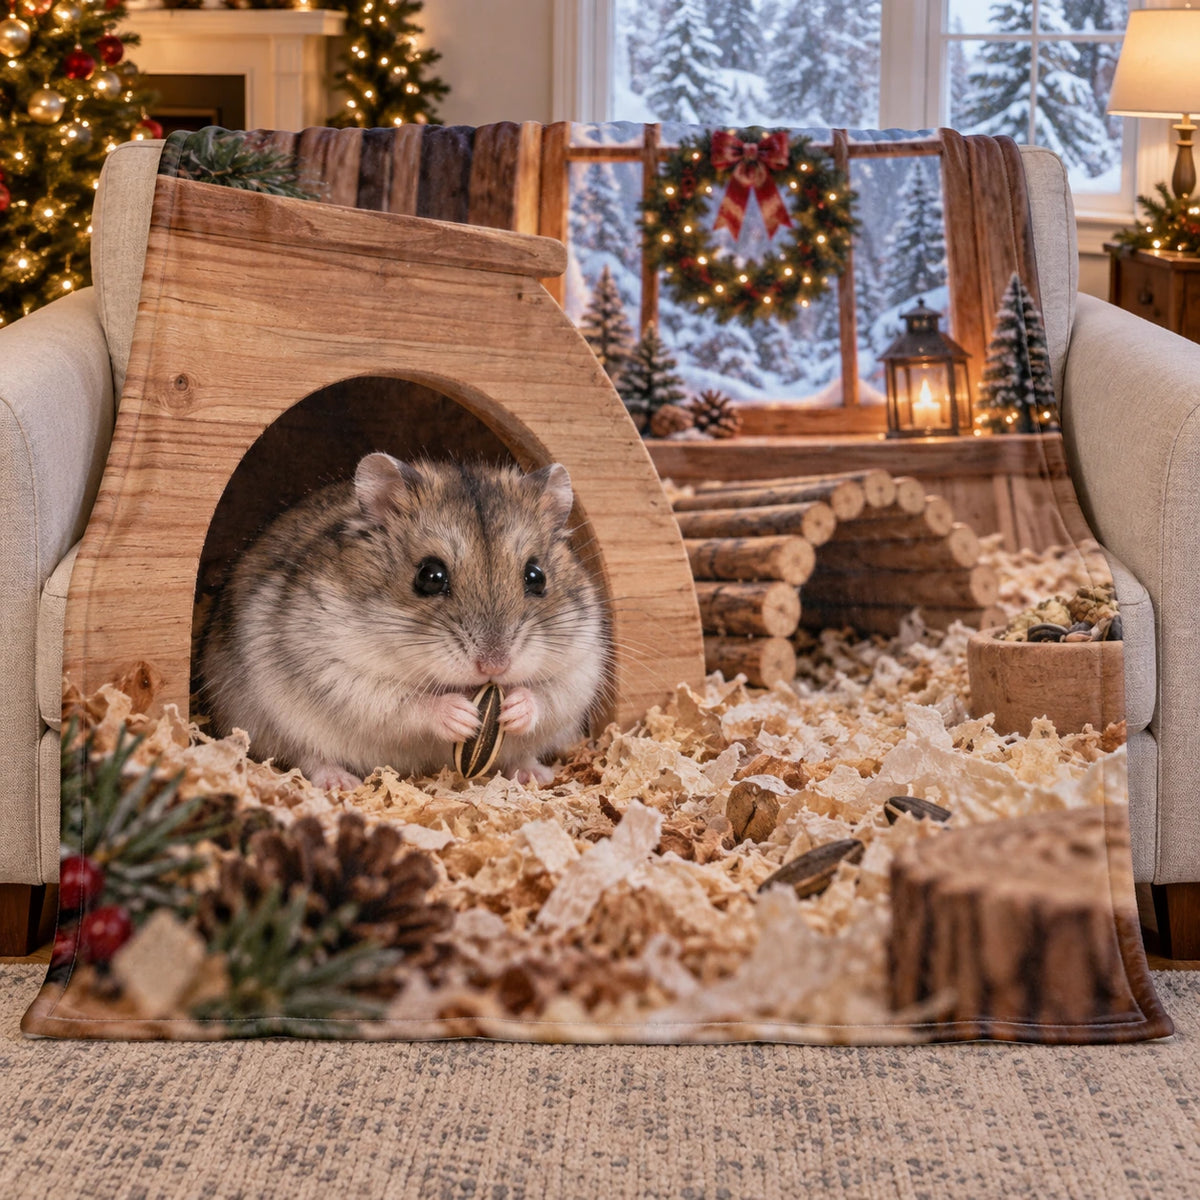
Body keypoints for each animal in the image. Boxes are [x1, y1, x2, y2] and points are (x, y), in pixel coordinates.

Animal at [199, 454, 609, 791]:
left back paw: (534, 773)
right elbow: (405, 702)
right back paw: (340, 782)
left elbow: (547, 695)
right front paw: (462, 715)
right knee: (309, 757)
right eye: (430, 576)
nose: (494, 665)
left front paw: (514, 708)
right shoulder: (335, 668)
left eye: (536, 576)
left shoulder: (582, 666)